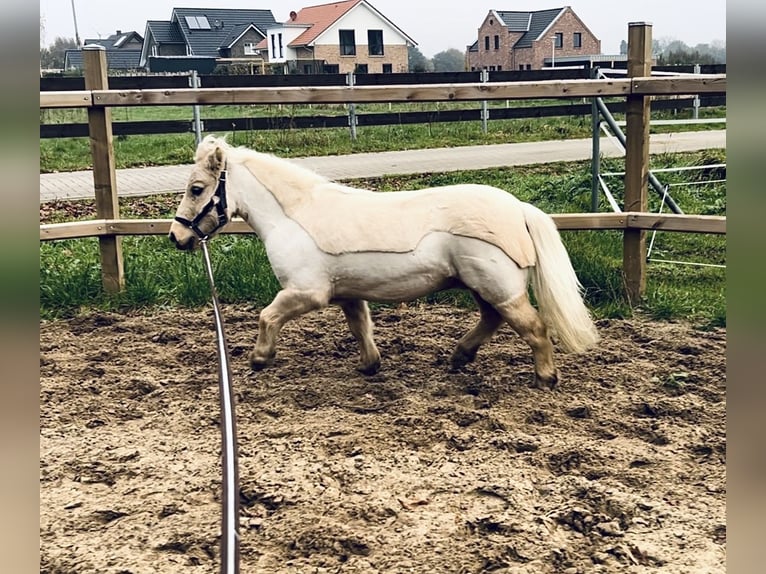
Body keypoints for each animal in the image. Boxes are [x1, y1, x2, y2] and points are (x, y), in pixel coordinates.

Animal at [171, 135, 604, 392]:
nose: (177, 237)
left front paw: (260, 359)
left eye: (197, 189)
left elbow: (267, 316)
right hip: (485, 288)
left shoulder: (307, 293)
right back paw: (458, 357)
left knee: (534, 329)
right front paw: (370, 366)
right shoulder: (347, 294)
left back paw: (545, 378)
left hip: (500, 288)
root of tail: (519, 209)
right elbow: (360, 327)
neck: (293, 216)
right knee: (492, 320)